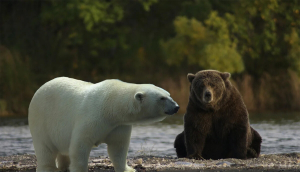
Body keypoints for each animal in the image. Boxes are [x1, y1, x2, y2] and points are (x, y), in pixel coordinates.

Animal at [28, 77, 179, 172]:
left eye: (169, 94)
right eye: (162, 98)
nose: (176, 107)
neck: (111, 106)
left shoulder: (118, 125)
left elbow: (118, 148)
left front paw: (128, 169)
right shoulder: (92, 116)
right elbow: (80, 145)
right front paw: (79, 169)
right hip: (41, 118)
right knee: (45, 147)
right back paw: (49, 168)